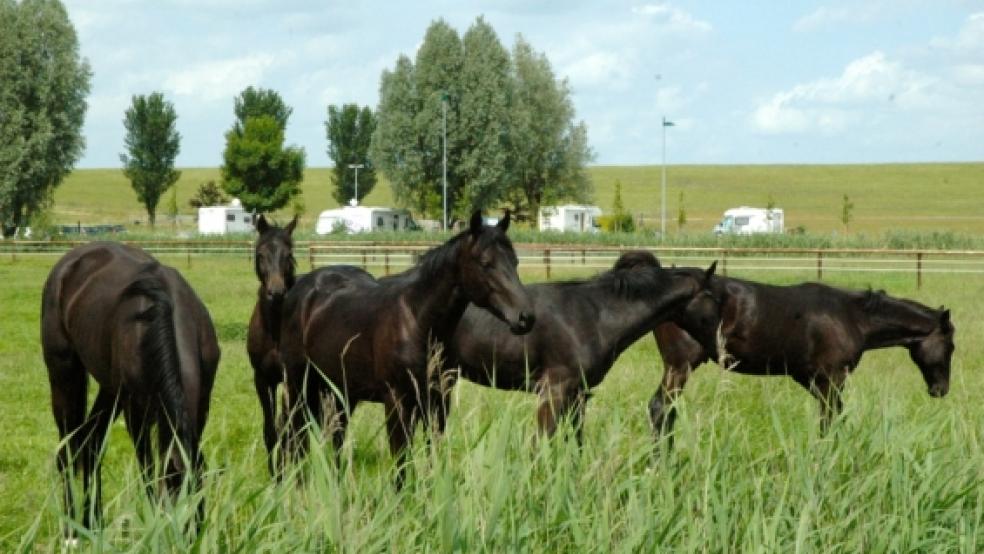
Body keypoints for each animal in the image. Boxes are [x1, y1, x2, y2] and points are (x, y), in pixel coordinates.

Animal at [40, 242, 219, 536]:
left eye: (200, 502)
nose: (191, 539)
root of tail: (70, 261)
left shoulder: (200, 409)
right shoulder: (136, 414)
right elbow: (148, 475)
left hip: (110, 391)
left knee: (91, 443)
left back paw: (93, 524)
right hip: (64, 374)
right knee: (67, 451)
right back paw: (72, 531)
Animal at [276, 210, 540, 478]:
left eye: (515, 262)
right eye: (485, 263)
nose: (525, 317)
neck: (417, 321)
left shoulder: (437, 402)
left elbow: (433, 456)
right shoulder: (397, 403)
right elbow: (401, 465)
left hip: (340, 391)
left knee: (335, 439)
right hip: (299, 386)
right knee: (294, 435)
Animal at [648, 276, 956, 440]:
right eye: (950, 346)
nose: (940, 389)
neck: (854, 318)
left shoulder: (810, 379)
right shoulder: (832, 378)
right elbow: (829, 421)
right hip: (680, 366)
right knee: (661, 409)